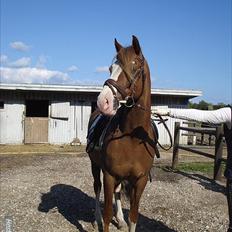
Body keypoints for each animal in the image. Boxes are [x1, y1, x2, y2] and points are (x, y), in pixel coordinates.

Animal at [87, 35, 158, 231]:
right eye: (111, 68)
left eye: (134, 67)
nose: (103, 101)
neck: (132, 137)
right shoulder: (109, 175)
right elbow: (106, 215)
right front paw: (103, 219)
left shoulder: (140, 181)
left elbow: (133, 217)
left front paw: (123, 219)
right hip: (95, 165)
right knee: (96, 187)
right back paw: (95, 218)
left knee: (118, 192)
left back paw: (119, 219)